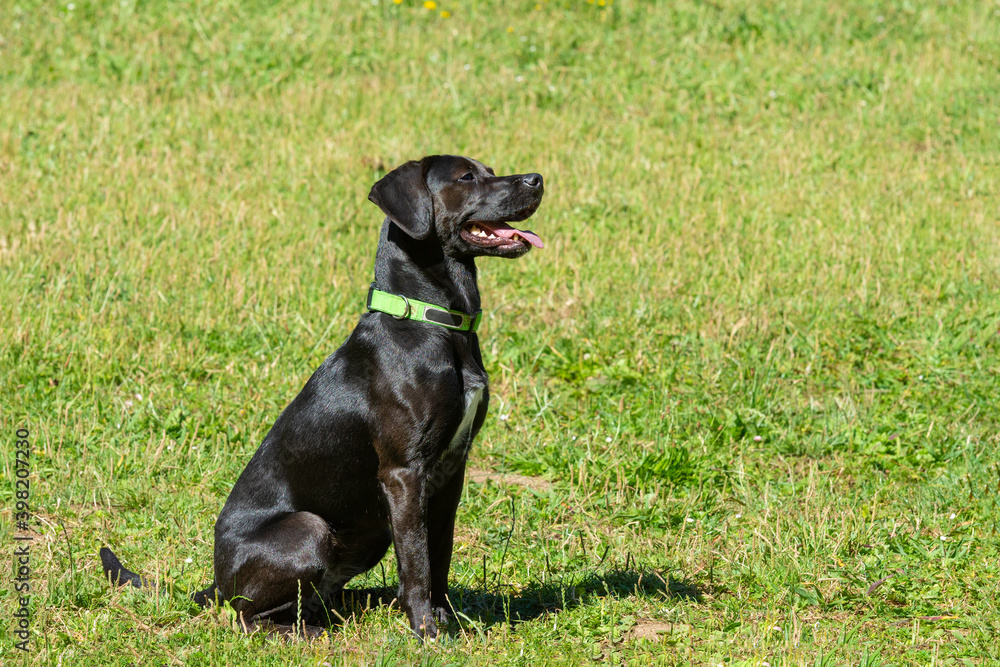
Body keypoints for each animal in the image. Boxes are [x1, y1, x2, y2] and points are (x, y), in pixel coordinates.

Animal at [99, 154, 548, 640]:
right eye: (466, 177)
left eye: (491, 170)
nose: (537, 179)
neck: (435, 323)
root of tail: (216, 583)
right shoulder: (403, 473)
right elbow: (416, 562)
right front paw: (426, 630)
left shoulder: (451, 470)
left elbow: (438, 556)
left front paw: (447, 618)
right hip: (311, 529)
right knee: (251, 618)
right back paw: (307, 633)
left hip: (369, 534)